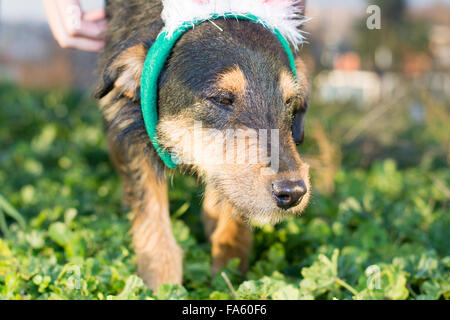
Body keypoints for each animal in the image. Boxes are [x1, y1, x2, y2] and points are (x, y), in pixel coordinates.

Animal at [96, 0, 310, 290]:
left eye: (289, 102)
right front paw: (162, 285)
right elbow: (152, 215)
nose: (294, 192)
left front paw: (228, 272)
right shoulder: (130, 129)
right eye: (222, 99)